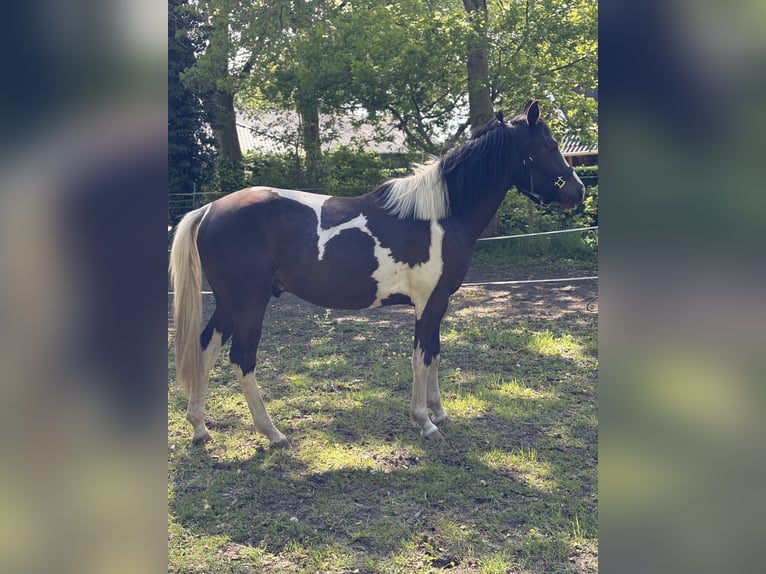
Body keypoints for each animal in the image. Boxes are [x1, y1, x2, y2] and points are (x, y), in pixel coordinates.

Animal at [170, 101, 585, 447]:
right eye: (549, 145)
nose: (578, 191)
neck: (440, 216)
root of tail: (209, 209)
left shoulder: (439, 303)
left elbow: (435, 353)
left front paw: (439, 412)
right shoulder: (428, 302)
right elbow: (421, 357)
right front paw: (424, 421)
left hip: (229, 304)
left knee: (206, 349)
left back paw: (200, 428)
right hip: (249, 305)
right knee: (242, 359)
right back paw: (272, 433)